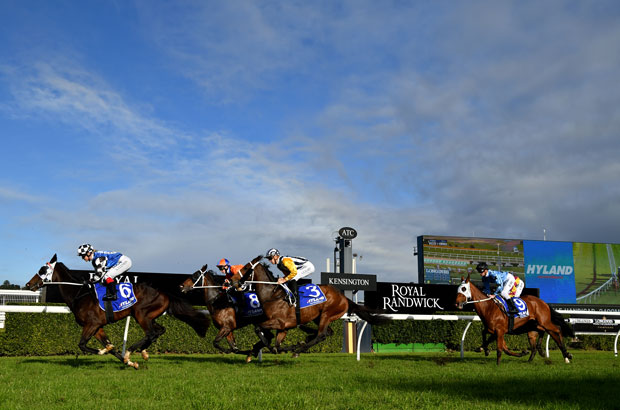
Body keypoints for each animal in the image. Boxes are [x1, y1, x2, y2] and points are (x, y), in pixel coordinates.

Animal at [26, 253, 211, 368]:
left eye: (43, 270)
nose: (28, 284)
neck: (79, 294)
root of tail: (164, 292)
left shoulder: (91, 324)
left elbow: (83, 345)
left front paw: (107, 352)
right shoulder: (97, 327)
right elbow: (110, 347)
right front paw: (128, 362)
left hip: (141, 314)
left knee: (151, 333)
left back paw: (131, 351)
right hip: (149, 316)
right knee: (159, 331)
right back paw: (142, 352)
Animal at [230, 255, 390, 354]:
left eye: (245, 268)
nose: (231, 280)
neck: (272, 295)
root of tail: (344, 297)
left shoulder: (280, 322)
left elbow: (258, 328)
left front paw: (275, 347)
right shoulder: (284, 327)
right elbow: (277, 344)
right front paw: (282, 347)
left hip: (327, 314)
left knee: (321, 335)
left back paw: (299, 350)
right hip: (319, 317)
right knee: (327, 333)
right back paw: (303, 340)